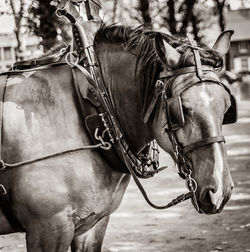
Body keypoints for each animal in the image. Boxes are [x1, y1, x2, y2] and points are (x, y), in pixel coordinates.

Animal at [0, 24, 234, 252]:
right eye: (181, 110)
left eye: (227, 107)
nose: (219, 192)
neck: (93, 107)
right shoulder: (49, 228)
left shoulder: (92, 225)